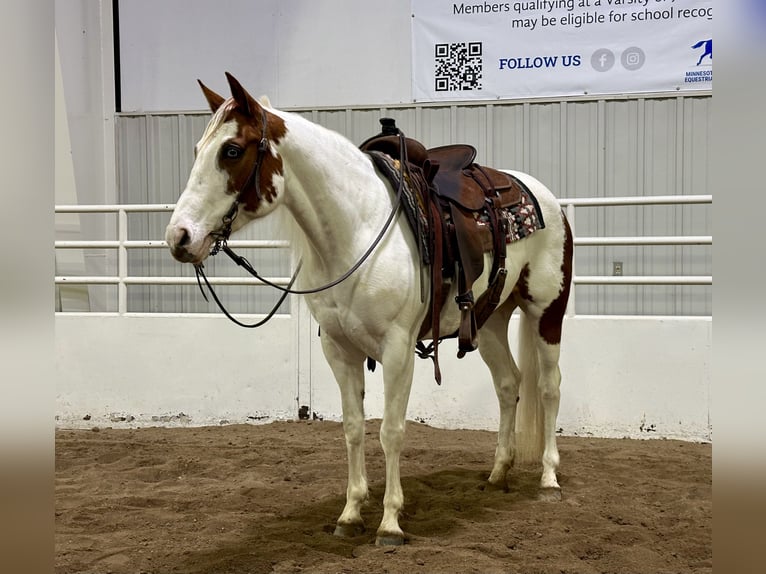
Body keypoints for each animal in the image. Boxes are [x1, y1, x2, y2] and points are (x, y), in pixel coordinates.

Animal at [168, 74, 576, 548]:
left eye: (231, 150)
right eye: (198, 149)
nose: (179, 237)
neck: (356, 229)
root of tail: (541, 196)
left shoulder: (398, 351)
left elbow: (391, 431)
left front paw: (390, 522)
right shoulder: (339, 351)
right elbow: (353, 427)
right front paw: (350, 514)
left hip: (547, 311)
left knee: (549, 387)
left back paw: (548, 479)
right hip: (490, 318)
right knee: (509, 384)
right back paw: (497, 473)